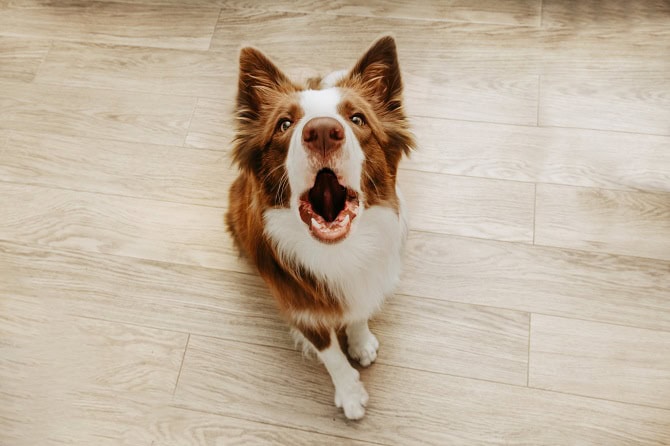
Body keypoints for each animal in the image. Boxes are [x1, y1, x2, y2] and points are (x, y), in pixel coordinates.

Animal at [226, 36, 414, 420]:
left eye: (357, 119)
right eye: (284, 124)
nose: (324, 131)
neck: (339, 252)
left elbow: (359, 312)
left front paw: (361, 342)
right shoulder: (302, 310)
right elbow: (331, 356)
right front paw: (351, 394)